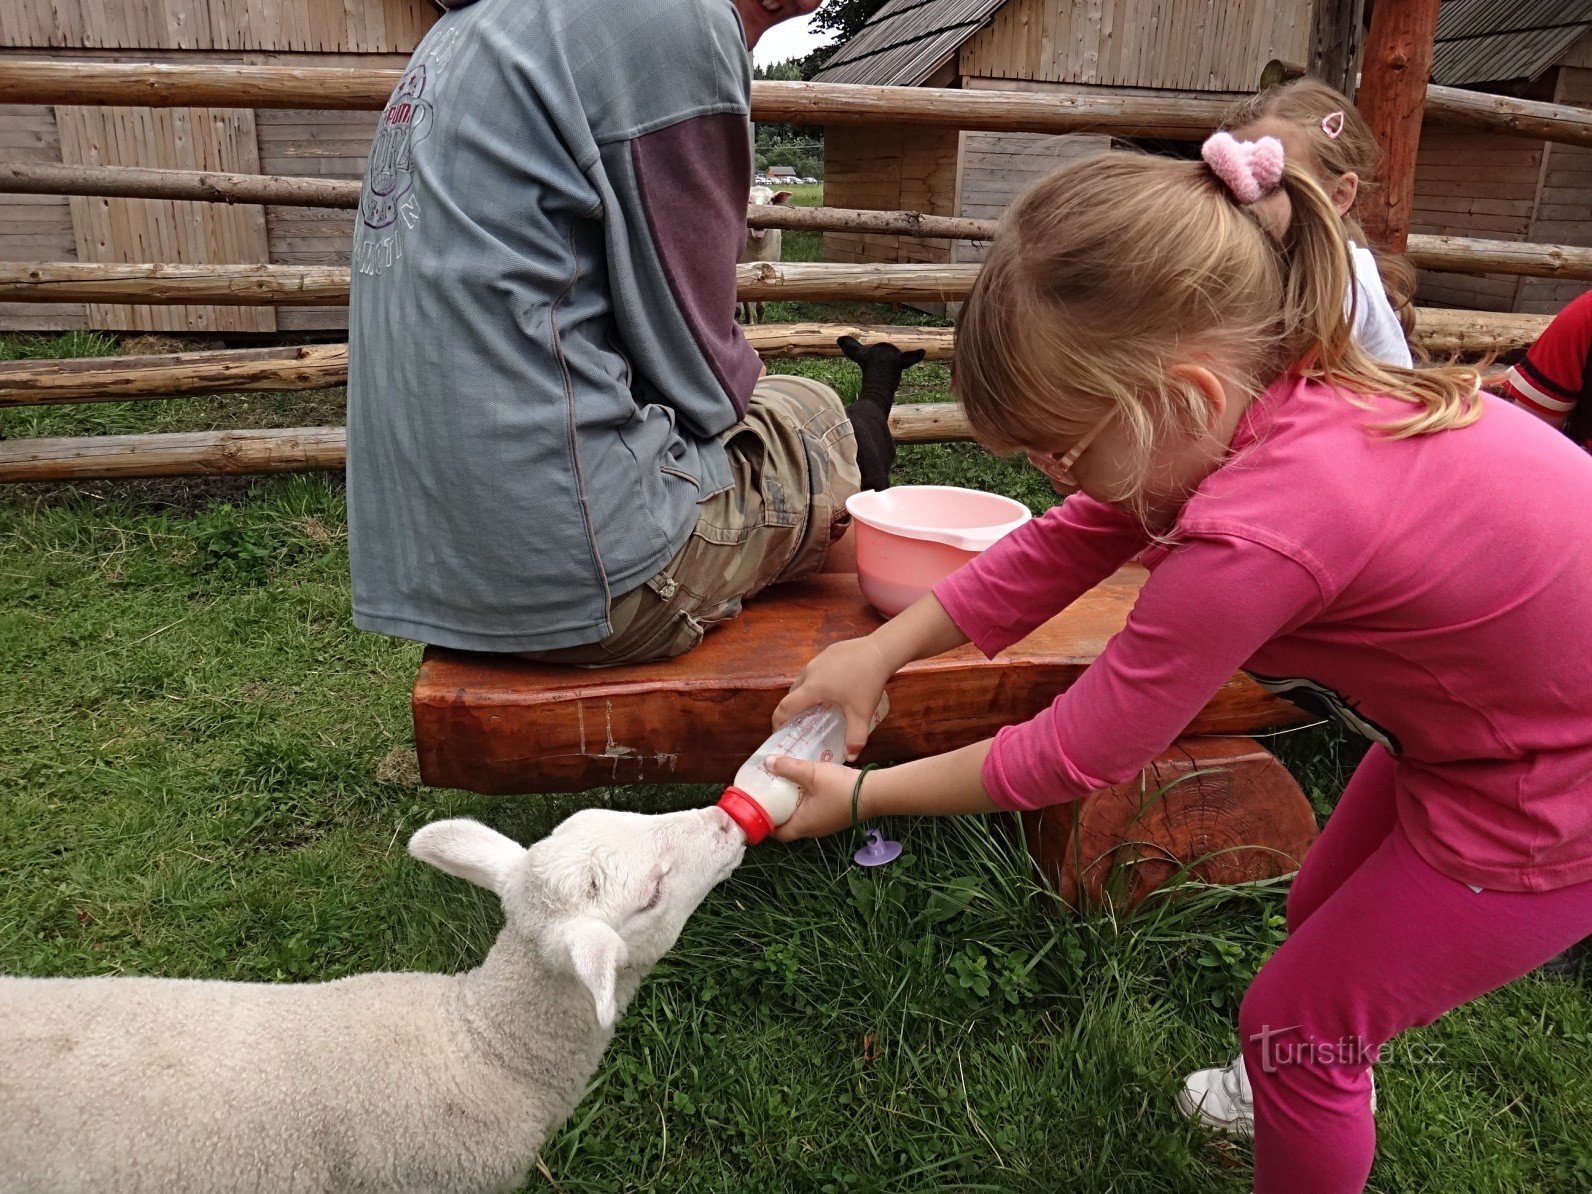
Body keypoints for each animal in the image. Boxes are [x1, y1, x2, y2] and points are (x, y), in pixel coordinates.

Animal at [745, 184, 796, 323]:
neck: (757, 250)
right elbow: (747, 307)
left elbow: (761, 307)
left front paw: (760, 323)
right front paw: (750, 323)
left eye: (772, 200)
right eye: (748, 200)